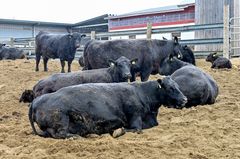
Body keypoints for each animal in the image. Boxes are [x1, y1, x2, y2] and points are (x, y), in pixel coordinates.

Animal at [28, 77, 188, 139]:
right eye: (171, 88)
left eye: (178, 86)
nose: (185, 99)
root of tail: (35, 101)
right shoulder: (135, 116)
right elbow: (135, 129)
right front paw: (118, 131)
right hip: (61, 118)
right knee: (60, 134)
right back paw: (78, 136)